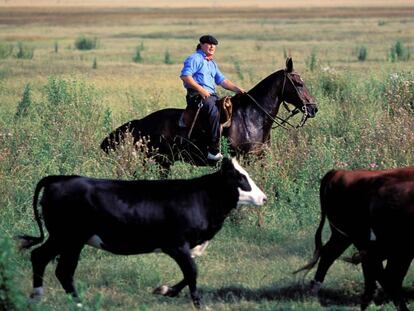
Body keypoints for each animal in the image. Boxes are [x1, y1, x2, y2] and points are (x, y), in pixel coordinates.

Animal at [18, 158, 266, 310]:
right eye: (241, 178)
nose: (263, 198)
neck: (201, 198)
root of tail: (59, 178)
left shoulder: (185, 248)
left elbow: (189, 275)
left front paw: (165, 290)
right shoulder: (176, 245)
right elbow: (193, 273)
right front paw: (197, 304)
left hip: (68, 239)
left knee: (51, 263)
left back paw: (56, 299)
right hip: (67, 237)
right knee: (52, 263)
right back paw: (62, 300)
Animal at [100, 58, 316, 171]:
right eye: (298, 83)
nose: (313, 108)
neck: (252, 118)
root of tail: (141, 122)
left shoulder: (258, 158)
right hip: (157, 161)